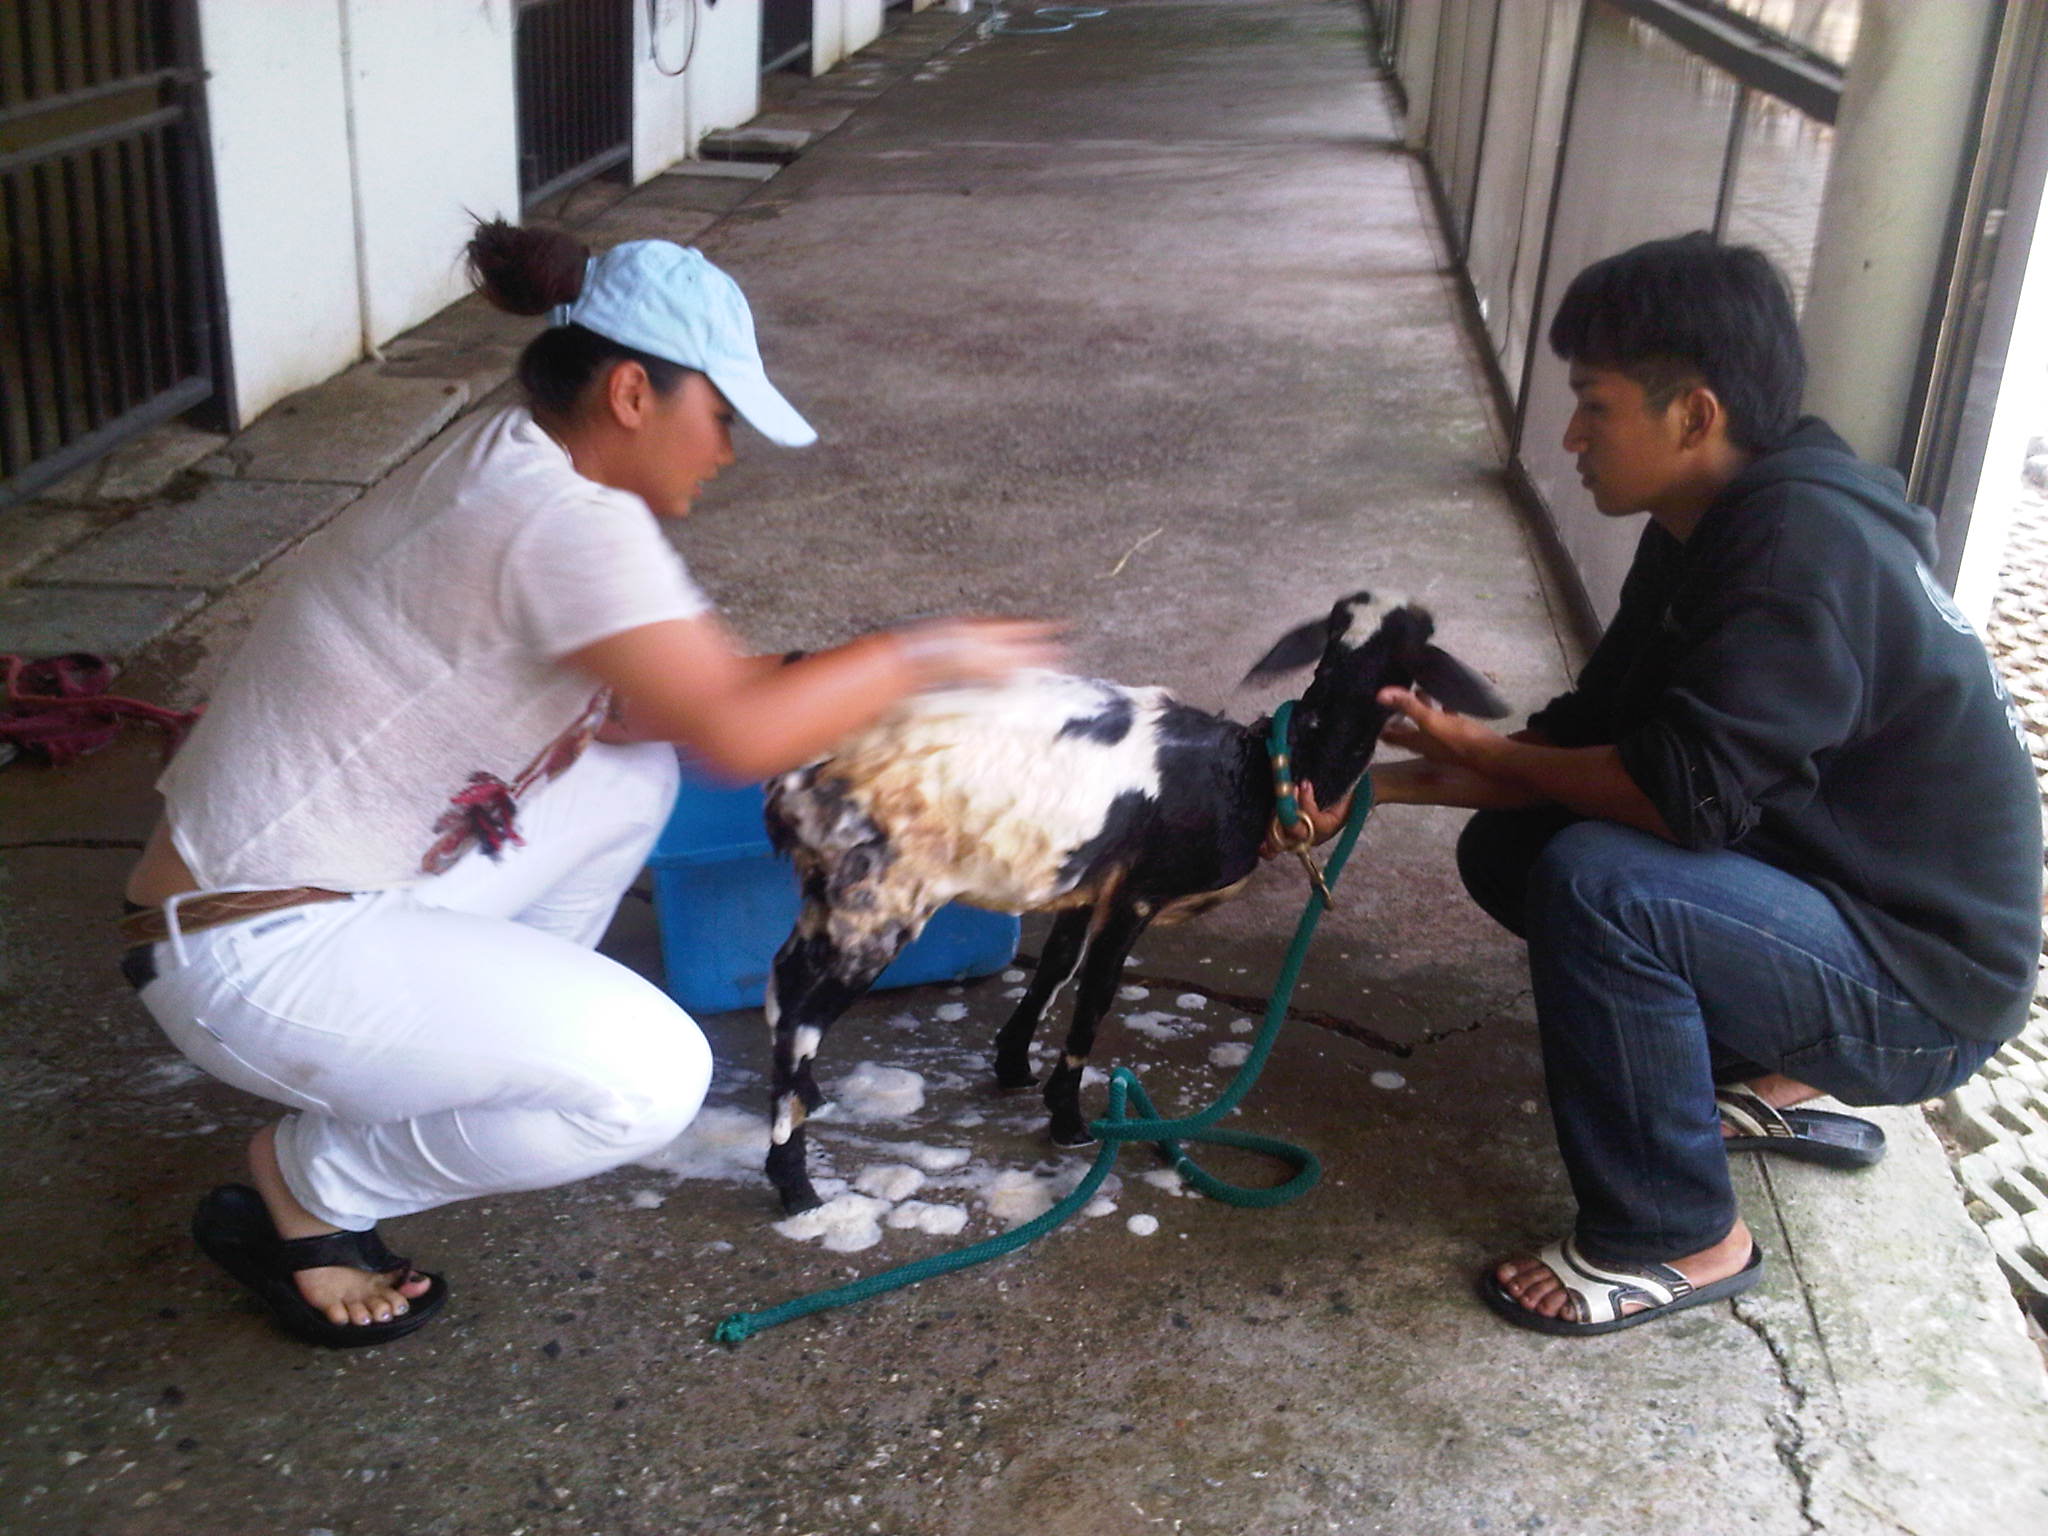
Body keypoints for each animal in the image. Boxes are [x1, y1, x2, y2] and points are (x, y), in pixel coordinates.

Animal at [761, 589, 1515, 1212]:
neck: (1258, 771)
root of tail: (804, 767)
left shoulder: (1086, 881)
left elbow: (1054, 971)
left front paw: (1013, 1066)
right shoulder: (1139, 895)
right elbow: (1095, 996)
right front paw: (1069, 1119)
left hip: (828, 888)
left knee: (781, 982)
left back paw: (812, 1098)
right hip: (879, 898)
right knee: (802, 1011)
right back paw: (794, 1182)